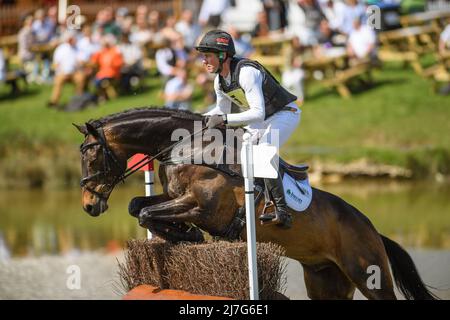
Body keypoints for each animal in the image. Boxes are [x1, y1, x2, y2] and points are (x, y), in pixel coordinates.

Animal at [75, 107, 438, 300]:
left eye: (91, 157)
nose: (89, 205)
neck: (188, 147)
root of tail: (373, 229)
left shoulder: (202, 207)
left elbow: (147, 212)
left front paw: (188, 234)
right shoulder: (175, 197)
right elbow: (138, 206)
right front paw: (181, 233)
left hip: (368, 272)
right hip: (325, 279)